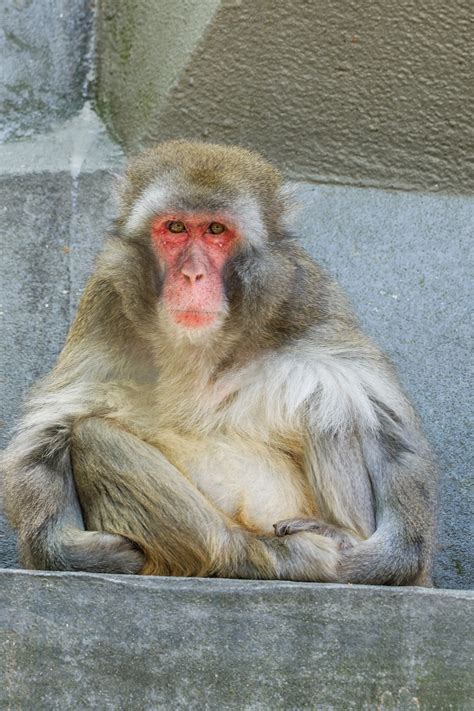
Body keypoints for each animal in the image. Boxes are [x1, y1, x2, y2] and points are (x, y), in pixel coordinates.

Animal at [1, 140, 438, 585]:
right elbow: (51, 429)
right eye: (176, 228)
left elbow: (379, 416)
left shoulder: (308, 298)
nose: (193, 276)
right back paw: (256, 555)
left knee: (327, 402)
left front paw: (392, 553)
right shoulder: (104, 304)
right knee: (91, 436)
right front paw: (61, 547)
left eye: (216, 230)